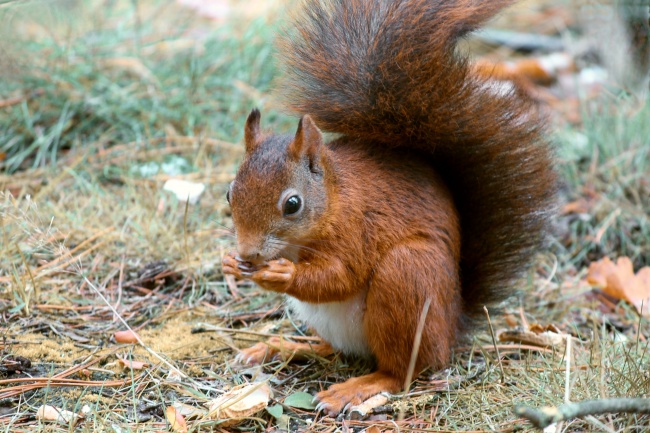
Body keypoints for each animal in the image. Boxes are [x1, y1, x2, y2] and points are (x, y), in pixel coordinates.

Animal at [220, 0, 556, 416]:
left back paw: (359, 387)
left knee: (404, 370)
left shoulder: (357, 228)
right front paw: (230, 263)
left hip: (406, 277)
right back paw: (281, 346)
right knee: (331, 349)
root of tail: (453, 326)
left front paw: (281, 273)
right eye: (229, 194)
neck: (334, 199)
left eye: (293, 205)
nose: (248, 252)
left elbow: (340, 276)